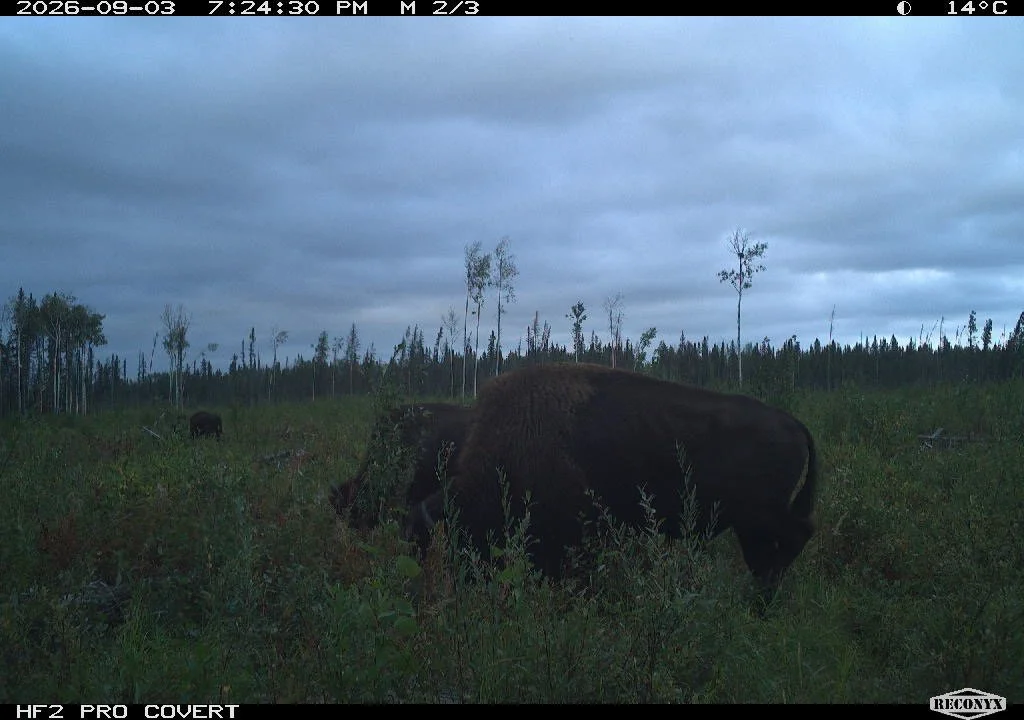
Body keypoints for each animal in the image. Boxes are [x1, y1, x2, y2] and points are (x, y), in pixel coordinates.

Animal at [405, 363, 818, 599]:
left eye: (469, 535)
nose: (469, 586)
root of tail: (791, 421)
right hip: (750, 525)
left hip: (759, 517)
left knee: (798, 535)